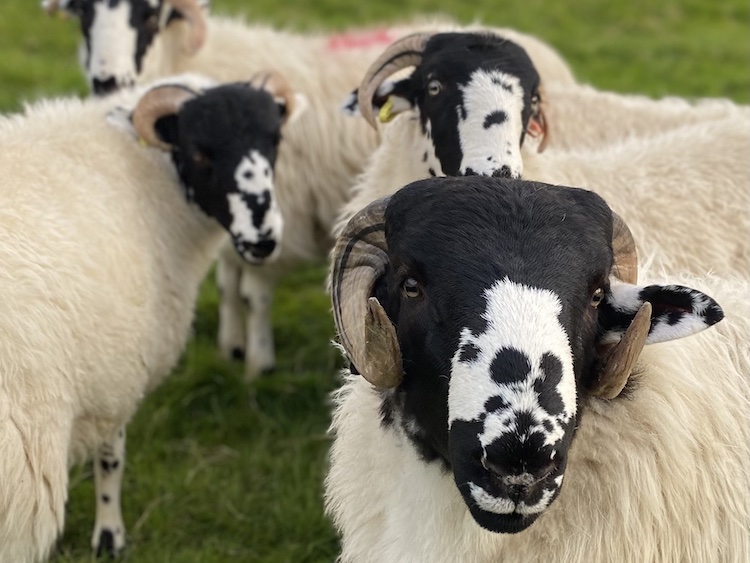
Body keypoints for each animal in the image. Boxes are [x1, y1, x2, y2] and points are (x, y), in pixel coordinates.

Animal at [0, 72, 306, 560]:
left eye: (274, 139)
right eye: (199, 151)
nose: (262, 239)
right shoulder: (117, 371)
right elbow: (112, 459)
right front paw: (110, 536)